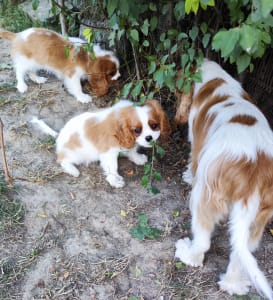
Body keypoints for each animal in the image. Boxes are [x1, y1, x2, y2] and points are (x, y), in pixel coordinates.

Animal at [30, 98, 169, 188]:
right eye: (137, 130)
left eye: (154, 125)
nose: (149, 137)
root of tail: (59, 136)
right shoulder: (108, 152)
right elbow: (112, 167)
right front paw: (115, 180)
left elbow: (131, 150)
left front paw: (137, 158)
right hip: (76, 154)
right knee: (62, 160)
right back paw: (72, 170)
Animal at [174, 59, 272, 300]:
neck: (215, 79)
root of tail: (256, 169)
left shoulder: (197, 144)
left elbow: (192, 161)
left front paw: (187, 175)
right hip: (258, 217)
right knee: (240, 251)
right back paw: (233, 285)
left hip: (205, 194)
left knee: (203, 239)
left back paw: (189, 255)